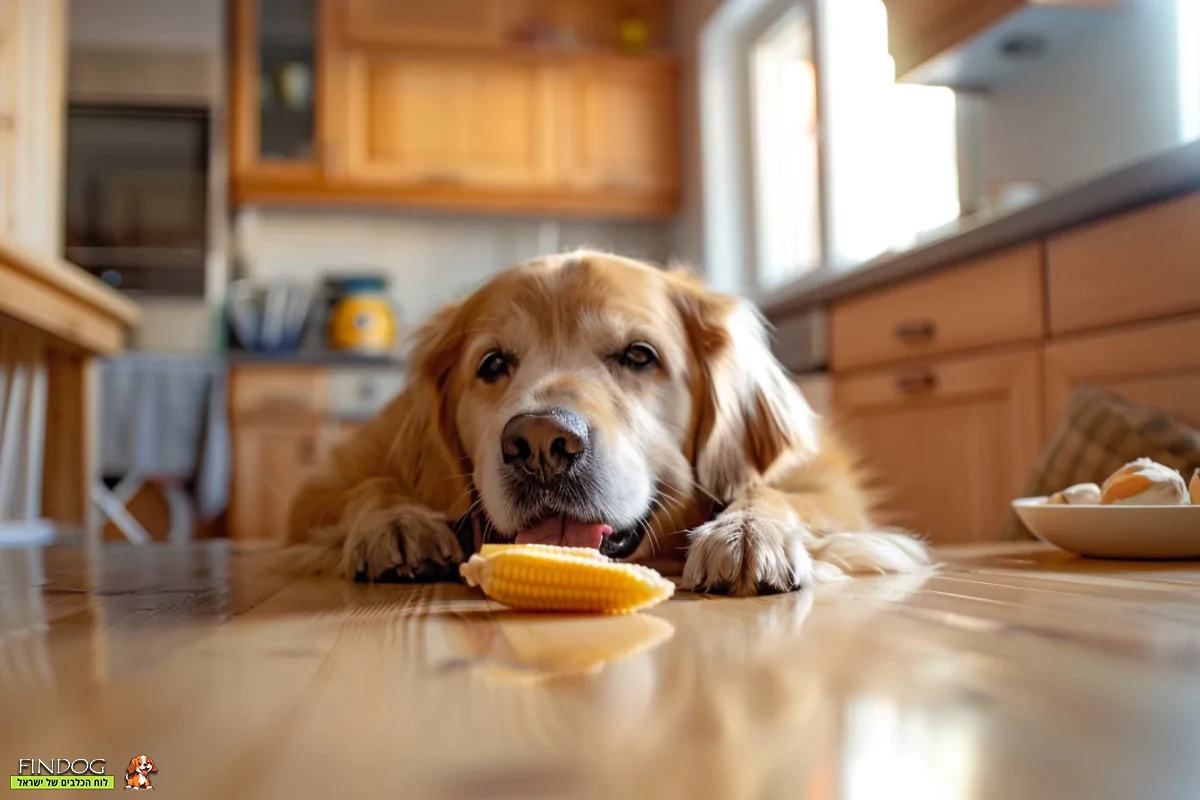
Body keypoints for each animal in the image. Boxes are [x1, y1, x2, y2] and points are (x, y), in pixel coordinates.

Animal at [288, 250, 926, 594]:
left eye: (639, 356)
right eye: (492, 365)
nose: (540, 443)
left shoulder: (825, 483)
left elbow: (777, 492)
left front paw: (749, 532)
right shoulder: (323, 487)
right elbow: (368, 486)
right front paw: (399, 523)